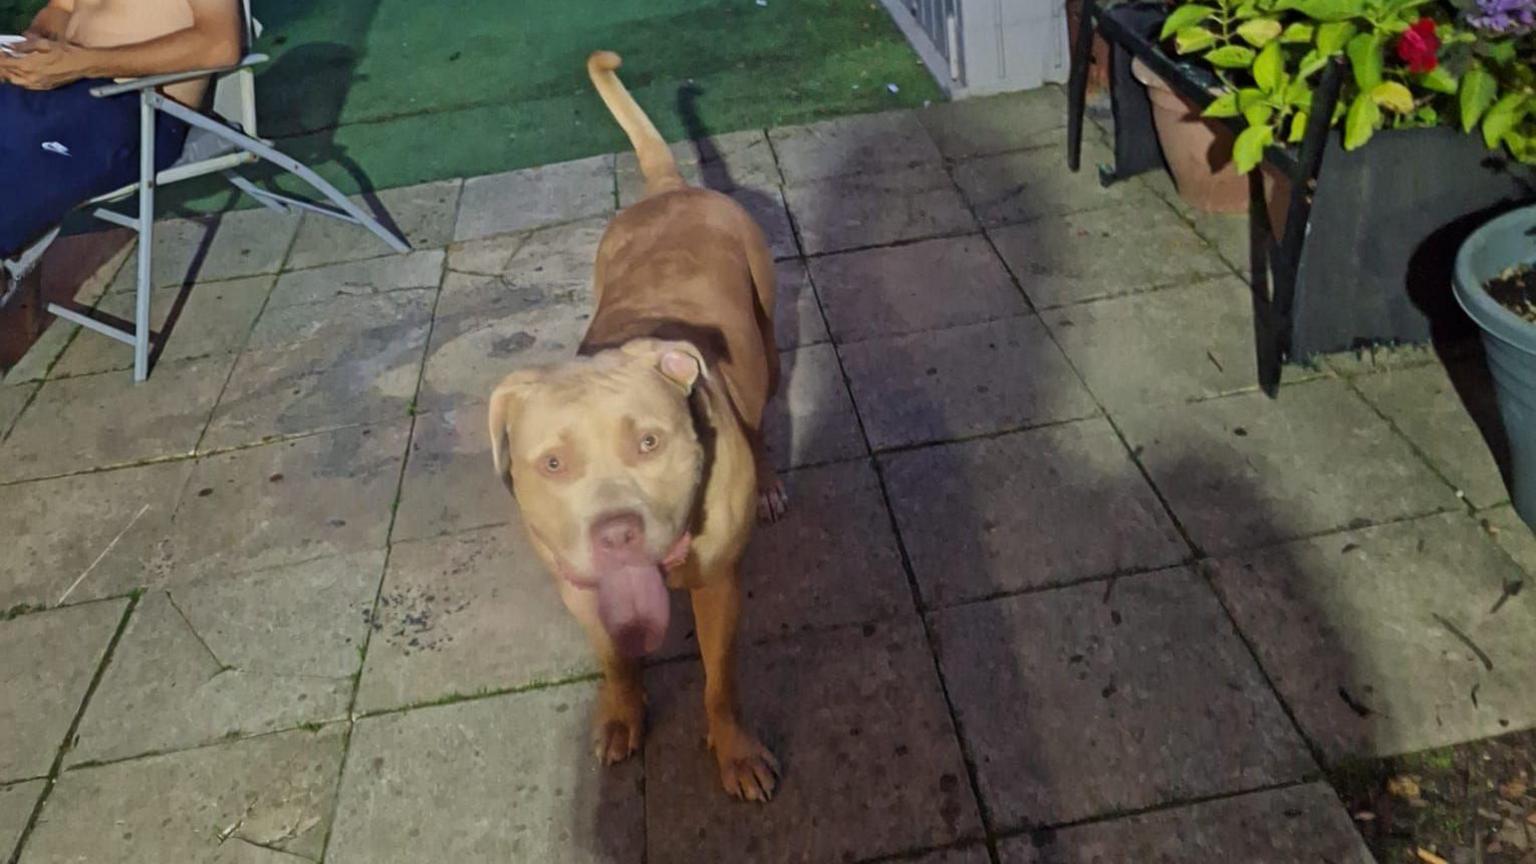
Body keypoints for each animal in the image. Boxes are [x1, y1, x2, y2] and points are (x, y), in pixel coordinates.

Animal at [488, 48, 786, 799]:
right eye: (552, 463)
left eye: (649, 442)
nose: (616, 532)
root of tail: (668, 187)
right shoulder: (580, 590)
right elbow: (616, 660)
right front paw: (623, 716)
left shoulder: (718, 586)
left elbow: (720, 682)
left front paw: (735, 752)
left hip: (767, 338)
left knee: (765, 408)